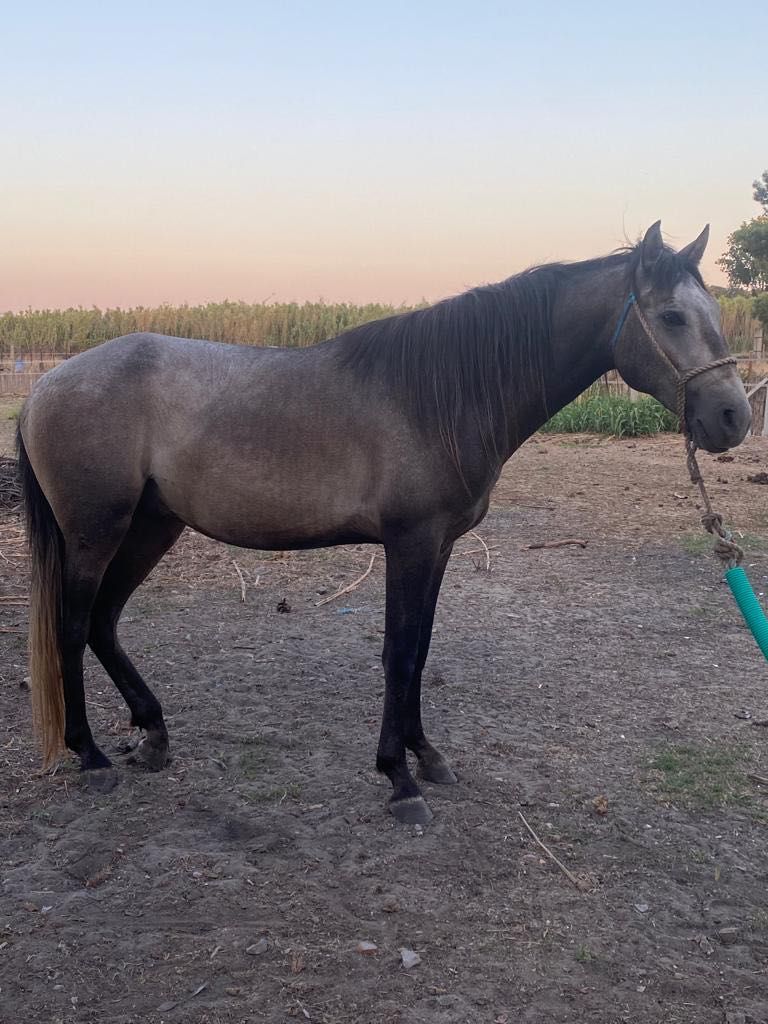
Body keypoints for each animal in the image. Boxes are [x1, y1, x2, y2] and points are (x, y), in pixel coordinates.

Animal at [16, 222, 753, 823]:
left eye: (715, 312)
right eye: (671, 316)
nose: (734, 418)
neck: (441, 393)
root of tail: (44, 386)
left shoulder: (439, 546)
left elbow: (420, 649)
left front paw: (425, 755)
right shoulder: (410, 542)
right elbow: (398, 650)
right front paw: (399, 779)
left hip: (150, 528)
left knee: (104, 623)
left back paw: (153, 734)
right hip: (96, 533)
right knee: (73, 627)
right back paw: (91, 758)